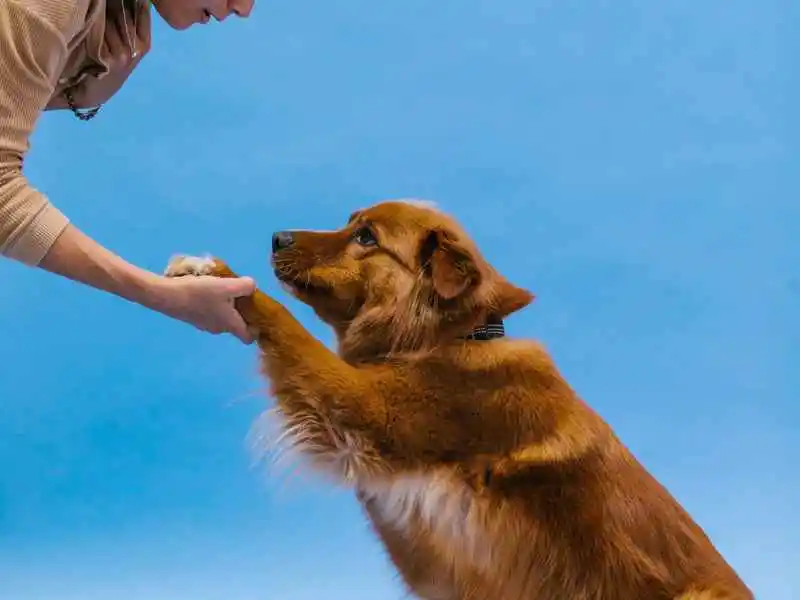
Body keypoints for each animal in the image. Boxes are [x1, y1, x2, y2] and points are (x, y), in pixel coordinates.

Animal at [164, 199, 756, 596]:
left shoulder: (369, 412)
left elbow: (288, 327)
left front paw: (218, 274)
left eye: (367, 237)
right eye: (349, 223)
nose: (277, 237)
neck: (453, 338)